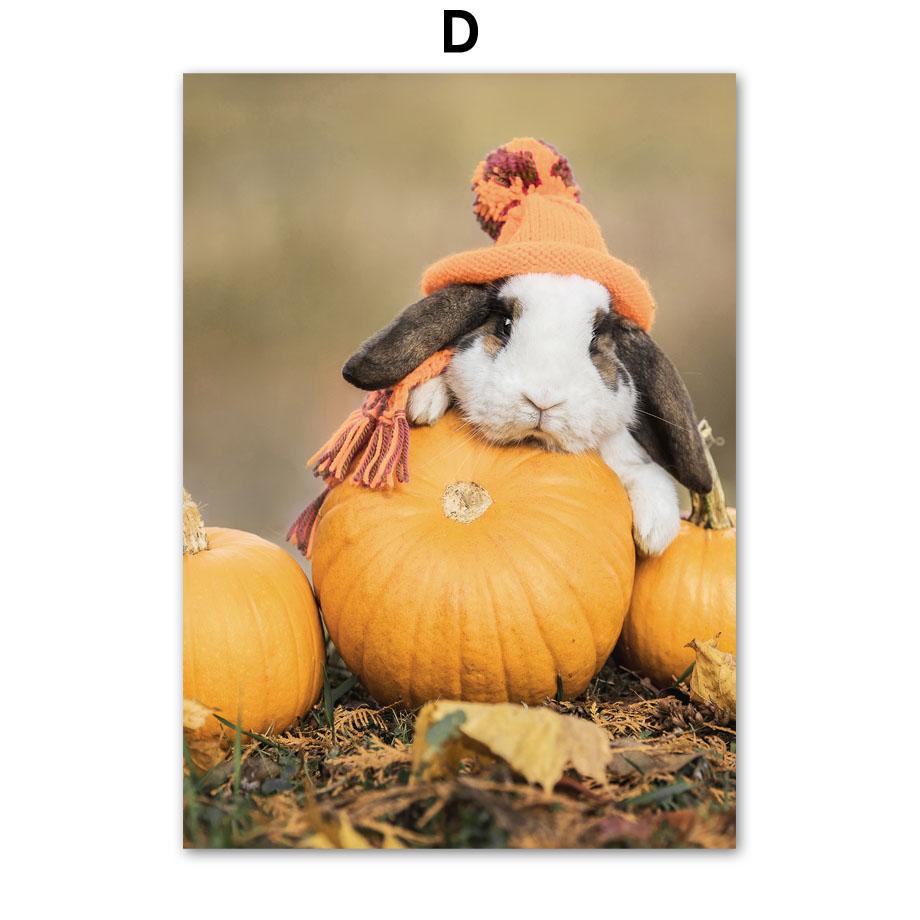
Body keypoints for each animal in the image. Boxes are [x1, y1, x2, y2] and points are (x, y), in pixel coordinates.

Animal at [342, 272, 712, 555]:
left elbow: (645, 474)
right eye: (505, 325)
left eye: (595, 343)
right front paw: (426, 399)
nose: (543, 399)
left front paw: (654, 532)